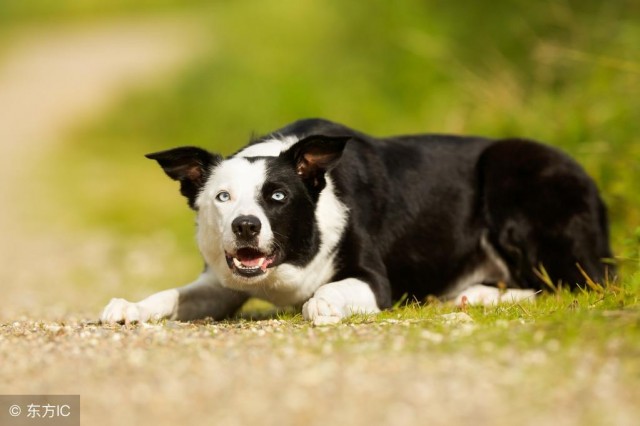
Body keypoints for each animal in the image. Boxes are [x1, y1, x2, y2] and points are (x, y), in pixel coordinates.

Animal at [102, 118, 612, 324]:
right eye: (222, 197)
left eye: (278, 196)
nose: (246, 226)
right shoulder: (221, 284)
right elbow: (173, 295)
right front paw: (130, 307)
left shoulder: (373, 279)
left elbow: (329, 292)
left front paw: (321, 304)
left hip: (513, 172)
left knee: (576, 282)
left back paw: (478, 295)